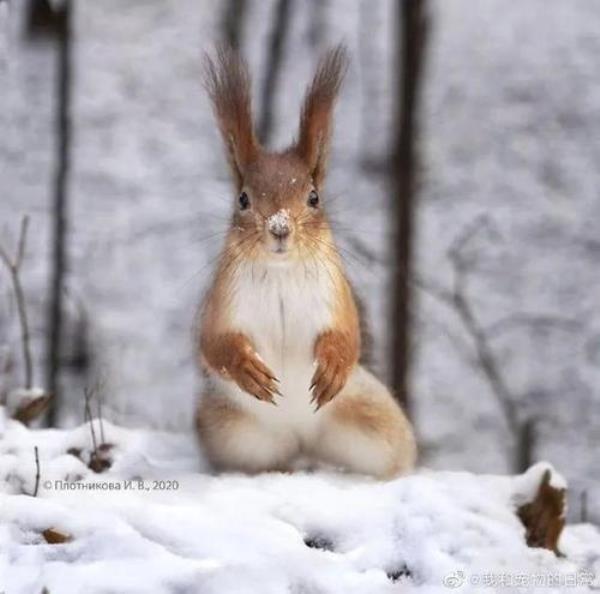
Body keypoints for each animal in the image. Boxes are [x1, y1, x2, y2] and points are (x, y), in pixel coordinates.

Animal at [197, 45, 418, 476]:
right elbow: (213, 342)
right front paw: (247, 368)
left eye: (314, 197)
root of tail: (302, 437)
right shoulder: (221, 302)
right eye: (243, 199)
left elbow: (348, 336)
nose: (280, 228)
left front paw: (332, 365)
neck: (282, 272)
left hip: (376, 418)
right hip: (227, 429)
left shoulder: (336, 296)